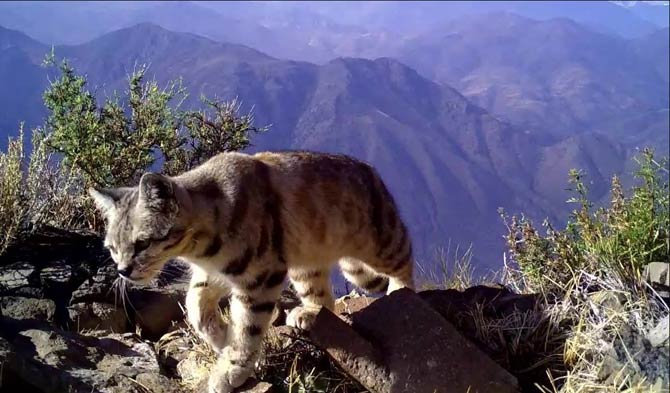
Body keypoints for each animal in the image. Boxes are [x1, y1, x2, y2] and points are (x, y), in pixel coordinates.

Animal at [88, 150, 414, 392]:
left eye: (142, 243)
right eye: (112, 247)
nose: (123, 270)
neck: (200, 247)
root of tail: (371, 171)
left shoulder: (259, 276)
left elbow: (248, 325)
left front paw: (230, 369)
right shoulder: (216, 273)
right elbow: (195, 305)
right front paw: (221, 337)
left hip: (380, 240)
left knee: (404, 258)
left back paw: (400, 294)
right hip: (304, 264)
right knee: (322, 296)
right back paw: (308, 313)